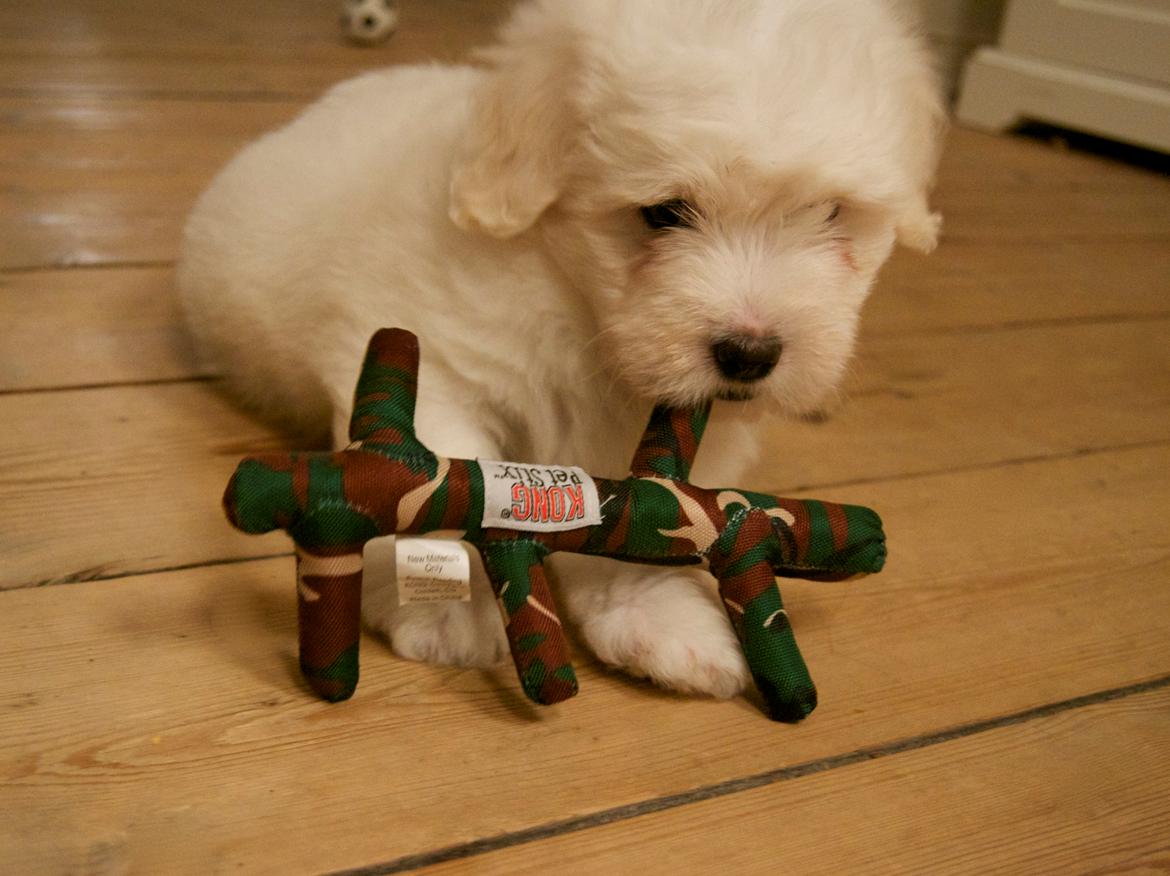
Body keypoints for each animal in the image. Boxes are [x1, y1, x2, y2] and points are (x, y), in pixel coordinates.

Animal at [180, 0, 940, 697]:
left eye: (833, 213)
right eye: (663, 213)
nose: (751, 354)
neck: (574, 300)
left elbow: (659, 507)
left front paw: (655, 614)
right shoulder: (439, 356)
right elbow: (449, 477)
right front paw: (446, 605)